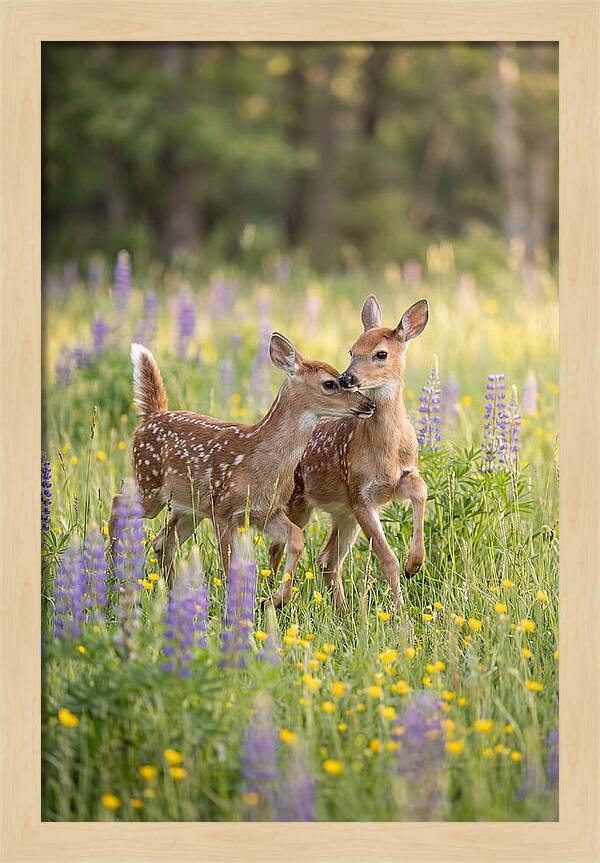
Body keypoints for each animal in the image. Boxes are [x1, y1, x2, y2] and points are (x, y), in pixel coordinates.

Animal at [109, 335, 375, 588]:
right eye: (330, 383)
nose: (369, 404)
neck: (258, 462)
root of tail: (151, 416)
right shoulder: (224, 511)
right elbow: (230, 567)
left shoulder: (266, 511)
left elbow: (296, 539)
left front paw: (277, 599)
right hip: (150, 485)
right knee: (118, 502)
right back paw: (112, 570)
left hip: (189, 507)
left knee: (162, 542)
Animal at [269, 296, 429, 610]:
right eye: (351, 350)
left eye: (381, 354)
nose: (346, 378)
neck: (387, 451)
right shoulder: (360, 494)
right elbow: (387, 560)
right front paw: (400, 611)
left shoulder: (396, 481)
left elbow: (420, 489)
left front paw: (414, 563)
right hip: (298, 503)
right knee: (277, 548)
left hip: (342, 513)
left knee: (327, 560)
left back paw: (342, 611)